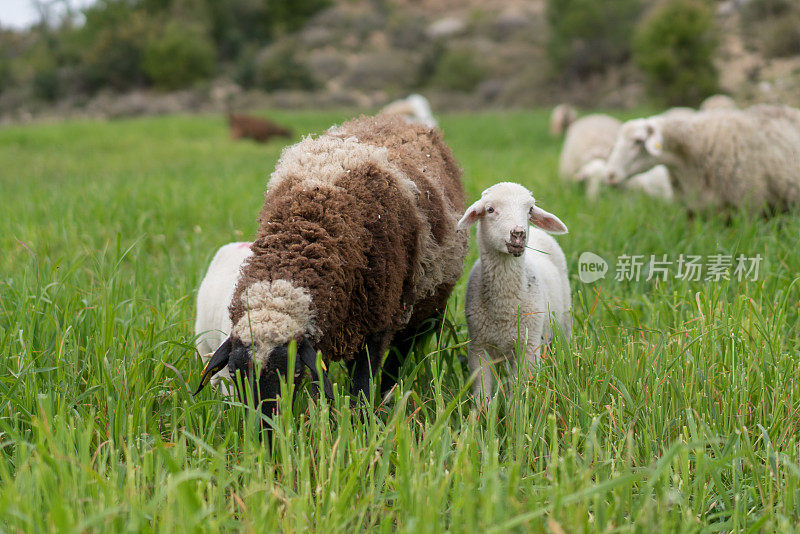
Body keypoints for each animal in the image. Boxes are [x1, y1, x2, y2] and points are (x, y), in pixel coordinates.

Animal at [460, 183, 572, 402]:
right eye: (490, 209)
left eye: (530, 210)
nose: (519, 234)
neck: (504, 308)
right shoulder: (478, 347)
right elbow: (482, 393)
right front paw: (480, 412)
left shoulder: (528, 348)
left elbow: (518, 393)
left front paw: (515, 411)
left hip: (563, 322)